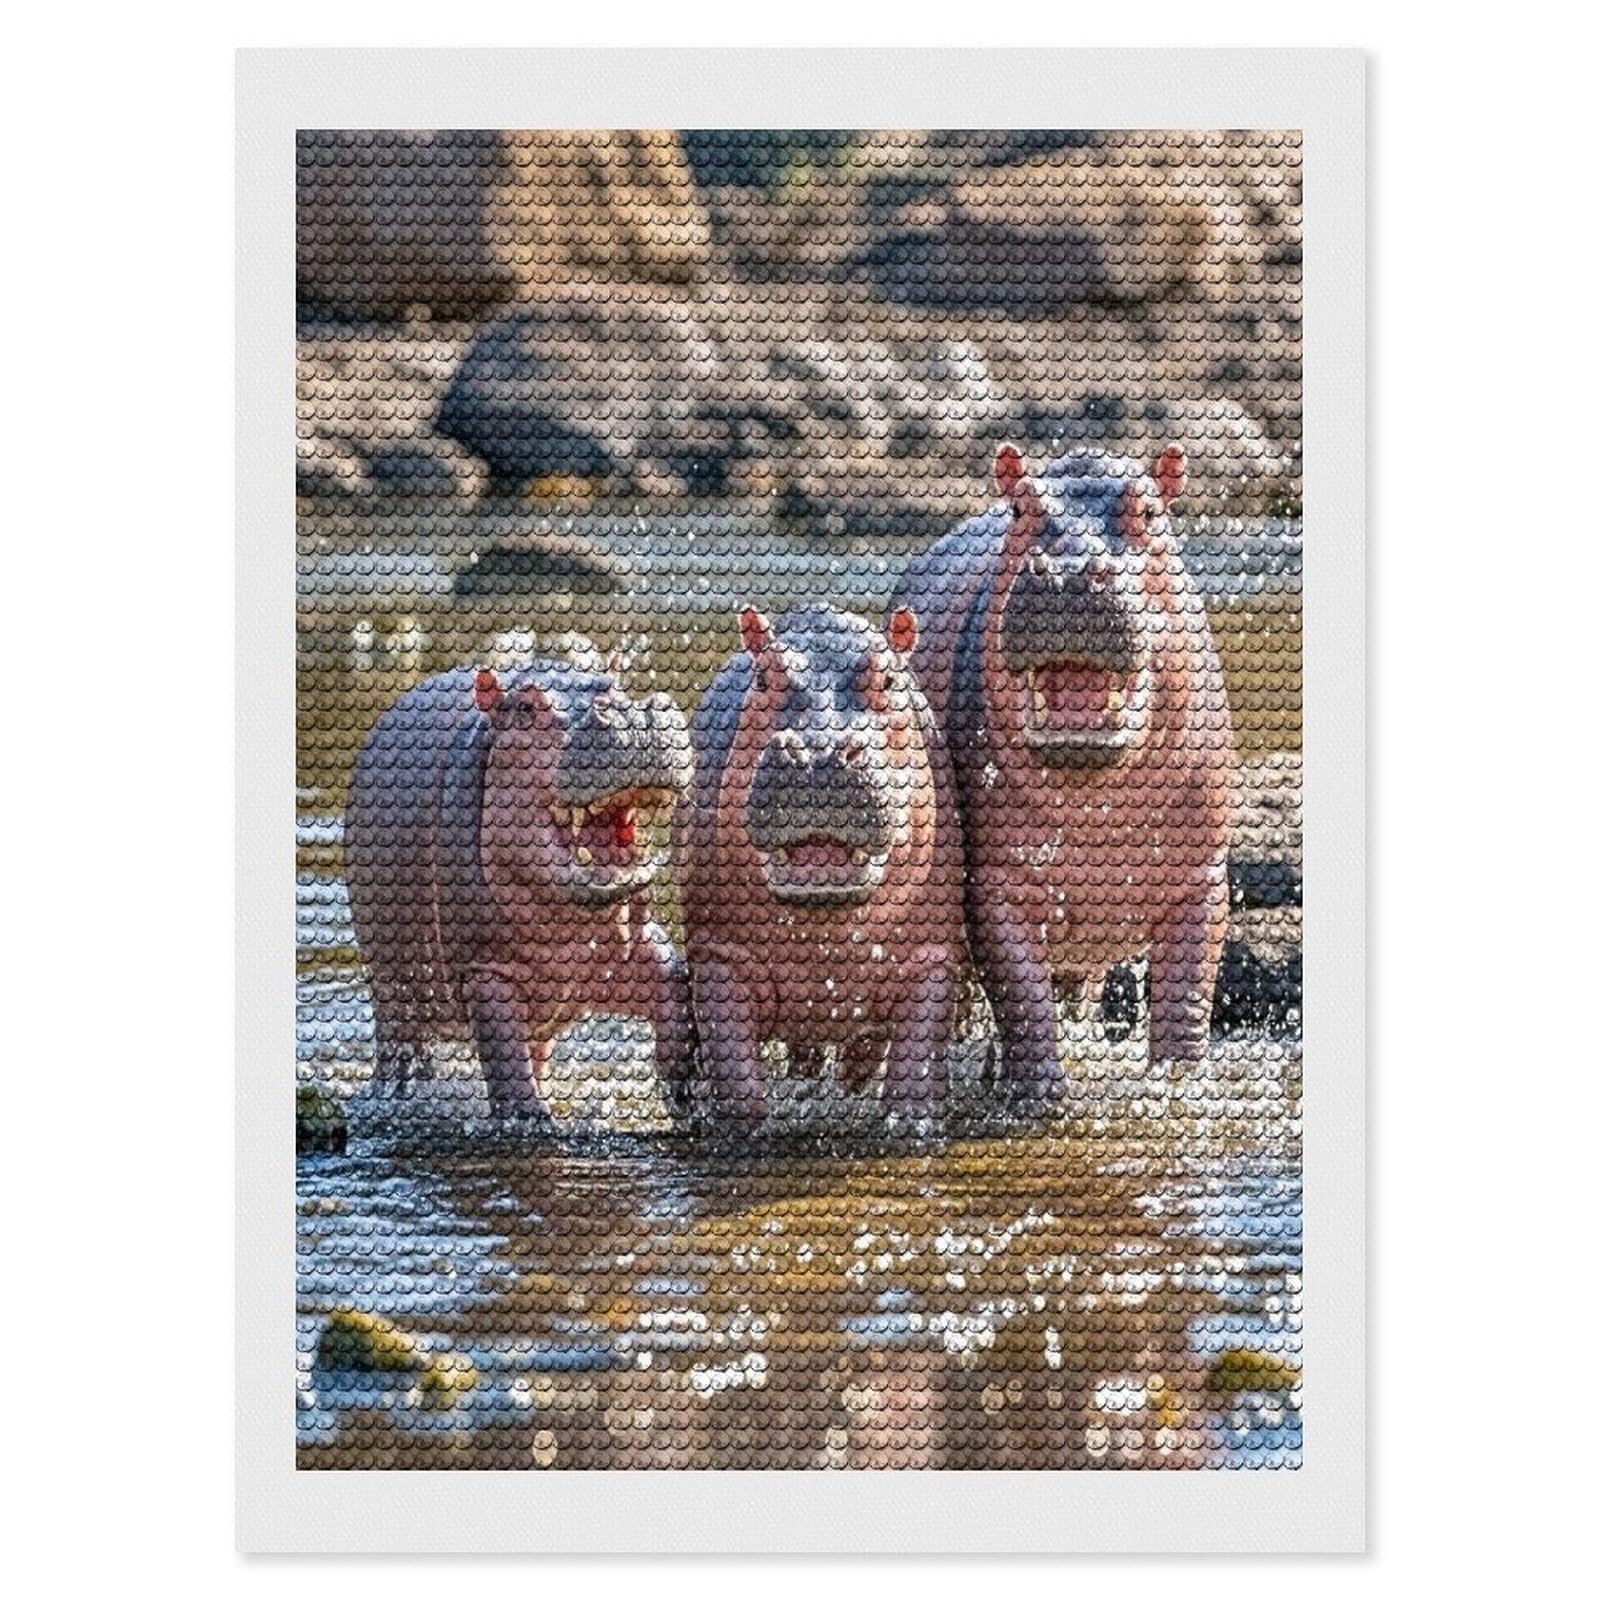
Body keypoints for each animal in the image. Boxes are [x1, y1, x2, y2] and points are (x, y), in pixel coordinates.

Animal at [343, 653, 695, 1131]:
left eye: (615, 686)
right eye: (527, 708)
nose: (633, 715)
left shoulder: (631, 948)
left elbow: (674, 988)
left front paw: (688, 1096)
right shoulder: (483, 971)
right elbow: (506, 1063)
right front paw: (533, 1122)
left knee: (537, 1054)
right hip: (391, 984)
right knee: (399, 1044)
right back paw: (396, 1097)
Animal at [674, 605, 966, 1129]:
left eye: (888, 677)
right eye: (764, 677)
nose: (819, 751)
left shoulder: (932, 957)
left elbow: (913, 1072)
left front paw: (909, 1120)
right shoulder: (718, 954)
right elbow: (737, 1079)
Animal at [893, 444, 1238, 1106]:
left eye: (1149, 510)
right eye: (1019, 507)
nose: (1071, 572)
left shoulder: (1202, 877)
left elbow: (1186, 988)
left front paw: (1178, 1083)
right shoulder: (994, 883)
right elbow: (1019, 990)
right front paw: (1041, 1098)